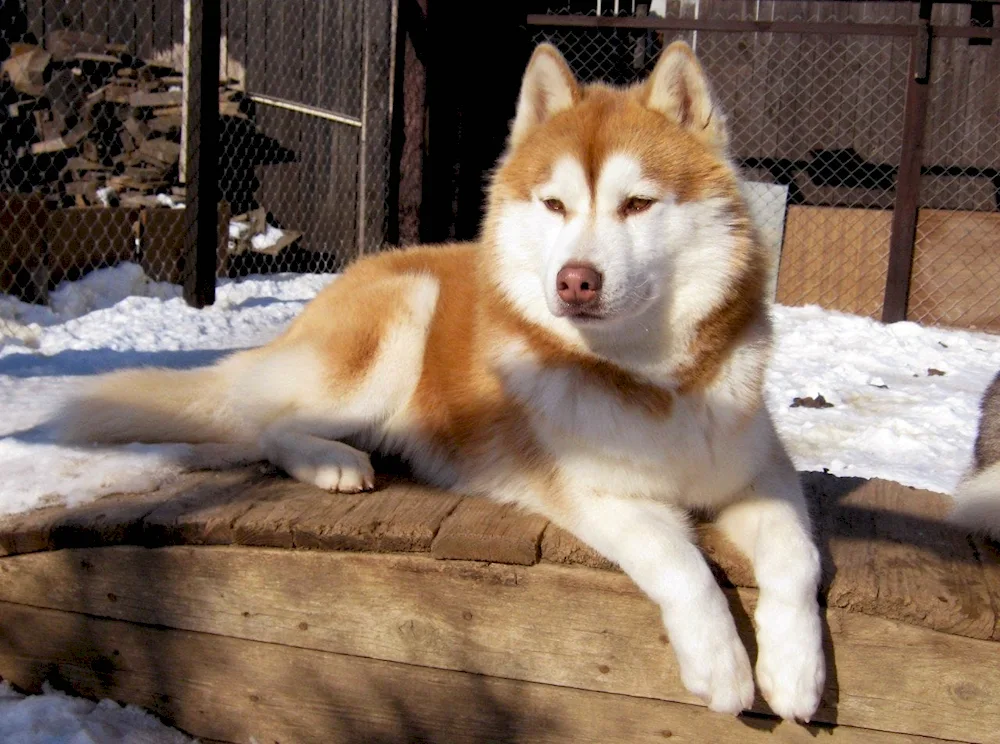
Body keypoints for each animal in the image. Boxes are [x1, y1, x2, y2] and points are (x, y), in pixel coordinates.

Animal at [52, 40, 828, 720]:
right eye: (555, 205)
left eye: (637, 203)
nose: (575, 280)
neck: (650, 380)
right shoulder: (595, 492)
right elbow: (681, 564)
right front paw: (722, 666)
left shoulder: (761, 473)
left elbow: (799, 557)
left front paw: (795, 671)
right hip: (401, 322)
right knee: (271, 426)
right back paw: (333, 462)